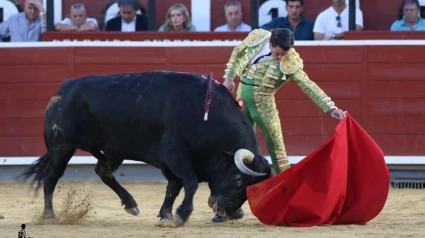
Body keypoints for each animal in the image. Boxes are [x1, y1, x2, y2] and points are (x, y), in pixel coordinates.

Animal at [19, 70, 272, 227]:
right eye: (238, 181)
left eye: (249, 188)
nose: (232, 212)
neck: (205, 115)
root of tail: (65, 87)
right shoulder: (174, 154)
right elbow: (189, 183)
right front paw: (180, 215)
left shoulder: (171, 162)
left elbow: (174, 187)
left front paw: (165, 215)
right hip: (61, 147)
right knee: (51, 177)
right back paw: (49, 215)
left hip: (112, 150)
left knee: (103, 171)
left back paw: (131, 204)